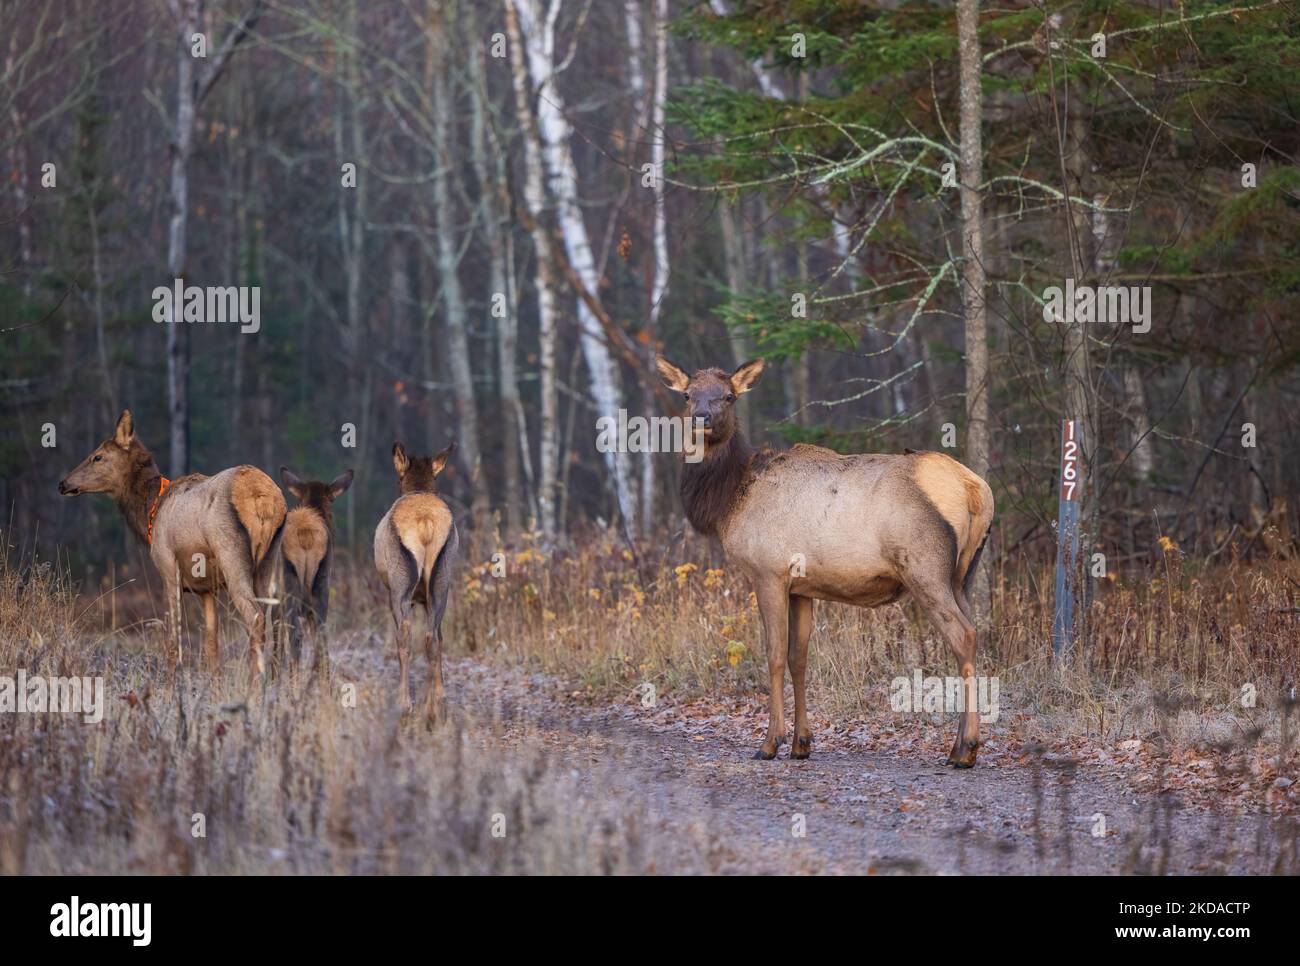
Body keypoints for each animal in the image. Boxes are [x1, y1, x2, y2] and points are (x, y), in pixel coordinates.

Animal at [59, 410, 287, 676]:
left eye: (98, 456)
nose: (63, 483)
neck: (149, 511)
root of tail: (264, 499)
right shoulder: (206, 588)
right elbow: (211, 645)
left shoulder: (169, 569)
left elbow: (172, 641)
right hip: (270, 560)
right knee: (276, 619)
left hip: (232, 554)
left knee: (255, 617)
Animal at [374, 442, 460, 722]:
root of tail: (425, 524)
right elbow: (439, 636)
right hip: (442, 582)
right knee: (433, 637)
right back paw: (436, 706)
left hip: (400, 585)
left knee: (405, 634)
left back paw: (406, 705)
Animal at [660, 358, 993, 764]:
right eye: (687, 395)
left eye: (729, 395)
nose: (702, 418)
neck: (729, 500)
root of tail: (976, 490)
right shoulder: (802, 587)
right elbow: (799, 658)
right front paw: (801, 743)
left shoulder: (768, 573)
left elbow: (773, 656)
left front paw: (770, 743)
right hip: (962, 574)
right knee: (973, 632)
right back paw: (958, 746)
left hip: (925, 568)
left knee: (963, 636)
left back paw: (967, 749)